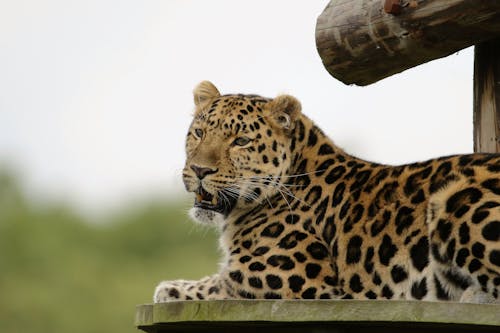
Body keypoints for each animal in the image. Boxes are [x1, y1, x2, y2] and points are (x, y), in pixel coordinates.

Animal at [153, 81, 500, 304]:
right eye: (199, 133)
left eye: (241, 141)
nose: (199, 170)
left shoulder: (287, 277)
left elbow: (218, 284)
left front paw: (170, 288)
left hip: (454, 198)